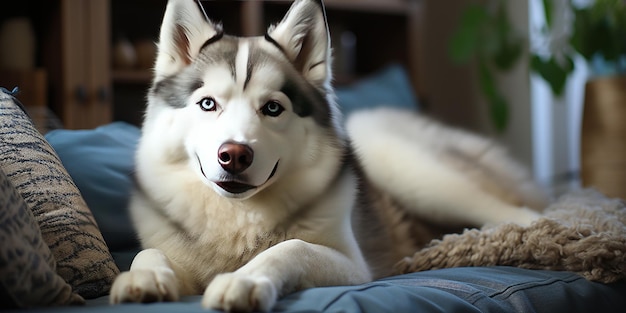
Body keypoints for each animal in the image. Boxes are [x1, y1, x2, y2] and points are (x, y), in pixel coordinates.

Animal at [108, 1, 544, 310]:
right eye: (208, 104)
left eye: (273, 108)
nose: (234, 155)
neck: (237, 215)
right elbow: (148, 252)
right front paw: (141, 278)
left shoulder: (356, 266)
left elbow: (292, 247)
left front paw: (244, 279)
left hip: (415, 173)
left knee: (520, 211)